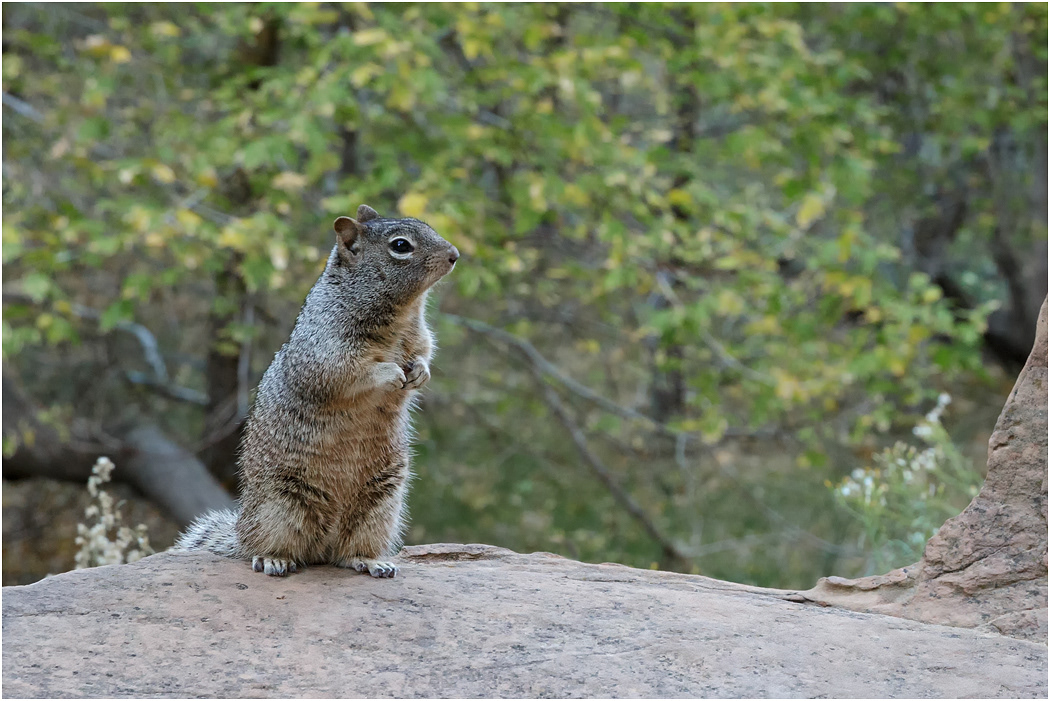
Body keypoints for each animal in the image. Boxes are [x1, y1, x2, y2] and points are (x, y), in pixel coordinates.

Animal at [174, 204, 460, 578]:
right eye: (401, 246)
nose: (455, 255)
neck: (403, 313)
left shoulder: (420, 337)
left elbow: (425, 352)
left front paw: (420, 373)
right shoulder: (324, 347)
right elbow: (345, 372)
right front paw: (390, 372)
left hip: (380, 505)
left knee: (348, 552)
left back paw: (371, 561)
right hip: (280, 506)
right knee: (272, 546)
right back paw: (274, 558)